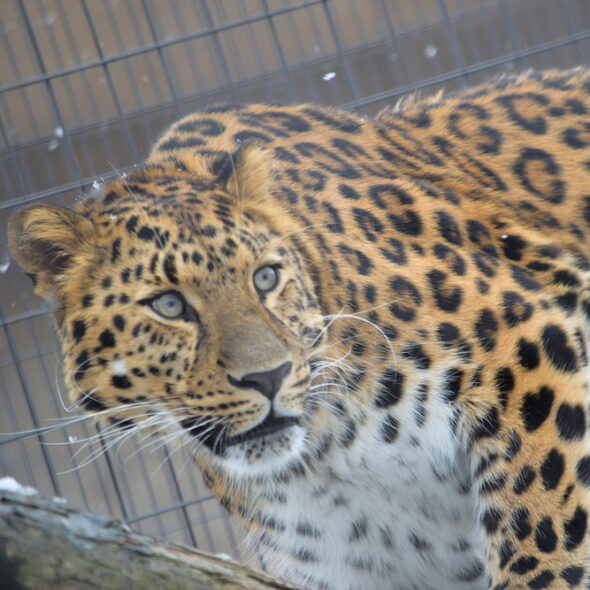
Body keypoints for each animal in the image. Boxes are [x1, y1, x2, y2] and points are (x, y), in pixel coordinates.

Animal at [6, 67, 590, 588]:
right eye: (169, 306)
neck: (329, 458)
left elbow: (544, 526)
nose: (267, 378)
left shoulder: (530, 336)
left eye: (265, 277)